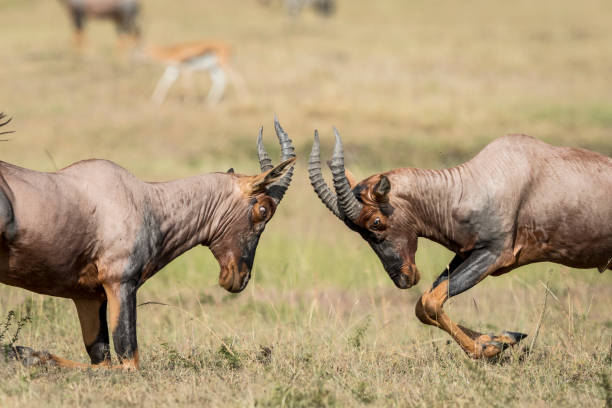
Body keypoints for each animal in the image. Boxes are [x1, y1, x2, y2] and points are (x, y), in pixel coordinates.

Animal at [0, 115, 296, 370]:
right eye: (263, 210)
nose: (239, 278)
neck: (146, 198)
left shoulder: (87, 297)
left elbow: (101, 359)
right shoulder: (120, 283)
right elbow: (128, 362)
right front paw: (25, 355)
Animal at [310, 129, 612, 358]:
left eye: (375, 222)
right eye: (356, 230)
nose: (403, 278)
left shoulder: (494, 255)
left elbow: (431, 301)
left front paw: (491, 349)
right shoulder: (465, 254)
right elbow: (424, 303)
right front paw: (501, 339)